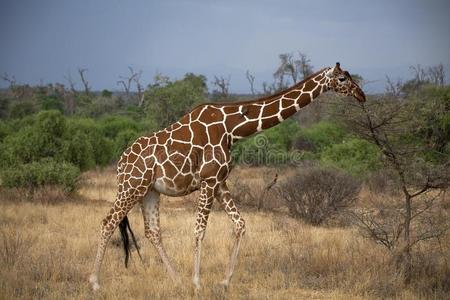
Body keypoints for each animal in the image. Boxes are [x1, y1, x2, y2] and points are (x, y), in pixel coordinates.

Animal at [89, 62, 366, 290]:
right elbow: (199, 230)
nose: (361, 95)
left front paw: (223, 282)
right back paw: (95, 283)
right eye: (342, 78)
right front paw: (197, 283)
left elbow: (240, 224)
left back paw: (176, 280)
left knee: (152, 231)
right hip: (132, 186)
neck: (232, 129)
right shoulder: (209, 180)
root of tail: (120, 162)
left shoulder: (220, 182)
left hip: (150, 191)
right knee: (108, 222)